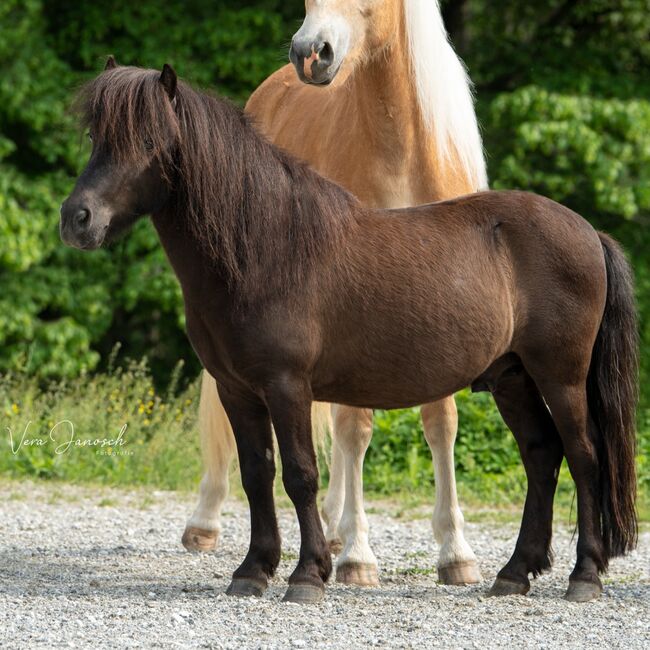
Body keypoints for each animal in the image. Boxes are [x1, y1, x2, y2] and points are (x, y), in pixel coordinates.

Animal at [58, 62, 636, 604]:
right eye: (95, 138)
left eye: (148, 142)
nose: (76, 218)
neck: (267, 247)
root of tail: (589, 231)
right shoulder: (236, 390)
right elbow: (256, 474)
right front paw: (253, 571)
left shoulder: (288, 386)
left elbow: (300, 475)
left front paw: (308, 575)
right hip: (512, 377)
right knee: (541, 455)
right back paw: (515, 572)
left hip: (560, 377)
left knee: (584, 457)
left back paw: (585, 575)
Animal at [182, 0, 486, 584]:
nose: (309, 53)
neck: (403, 159)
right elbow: (354, 428)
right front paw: (359, 557)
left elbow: (439, 423)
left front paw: (456, 551)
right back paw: (206, 521)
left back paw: (335, 523)